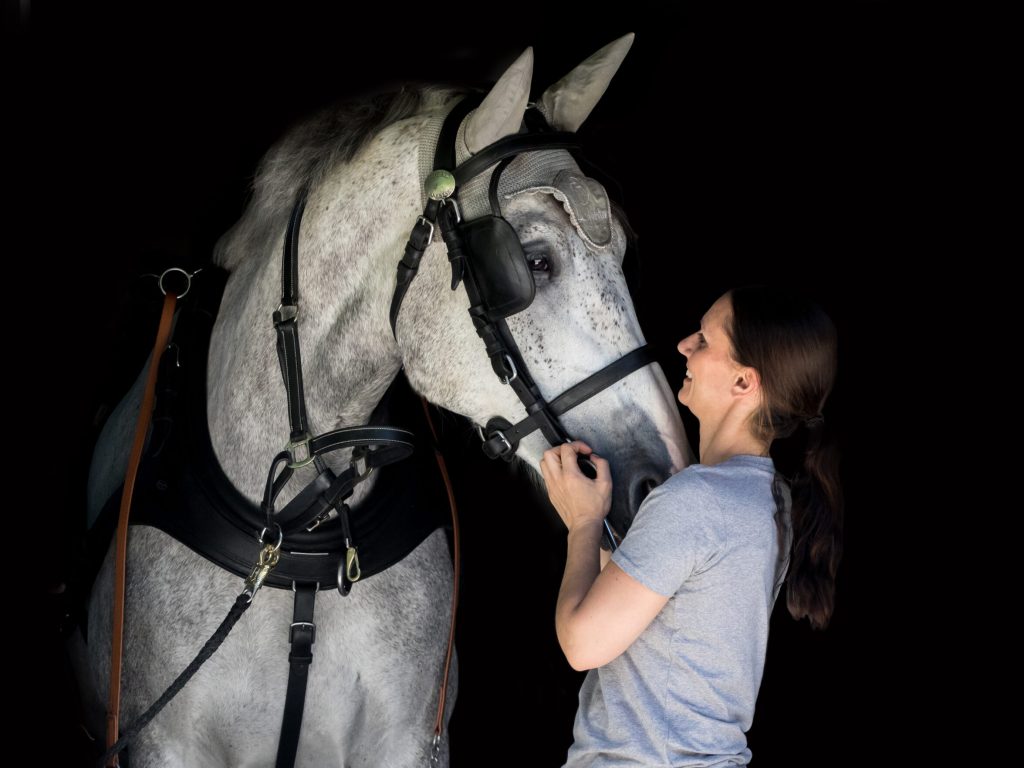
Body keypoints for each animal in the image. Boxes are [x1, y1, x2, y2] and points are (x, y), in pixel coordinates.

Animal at [74, 36, 688, 768]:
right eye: (535, 262)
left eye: (623, 253)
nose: (661, 478)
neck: (299, 533)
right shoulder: (165, 745)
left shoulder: (408, 741)